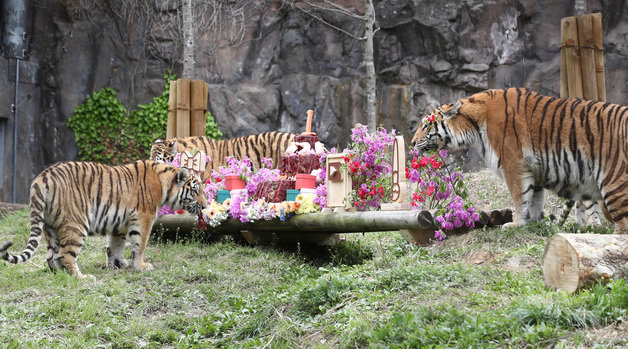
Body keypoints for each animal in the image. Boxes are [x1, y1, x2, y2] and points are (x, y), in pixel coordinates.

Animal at [0, 160, 209, 278]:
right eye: (195, 191)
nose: (206, 205)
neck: (164, 182)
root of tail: (42, 177)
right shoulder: (144, 217)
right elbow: (139, 244)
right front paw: (141, 266)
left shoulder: (120, 223)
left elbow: (116, 246)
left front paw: (117, 264)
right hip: (76, 223)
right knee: (64, 255)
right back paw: (81, 278)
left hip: (50, 226)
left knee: (51, 256)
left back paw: (60, 275)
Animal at [408, 87, 624, 231]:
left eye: (426, 126)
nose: (411, 142)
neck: (474, 125)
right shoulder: (535, 170)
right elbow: (535, 199)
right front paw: (535, 222)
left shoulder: (514, 165)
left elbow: (520, 197)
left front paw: (516, 223)